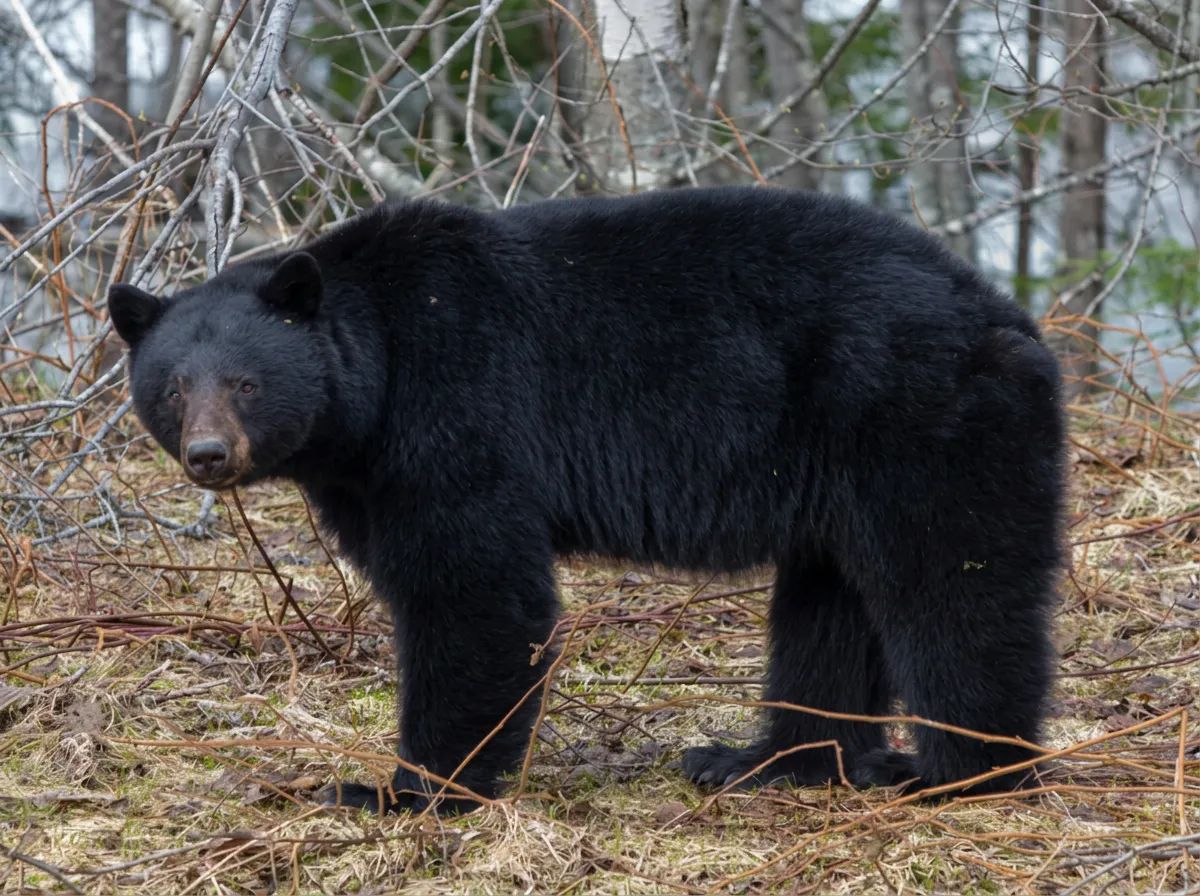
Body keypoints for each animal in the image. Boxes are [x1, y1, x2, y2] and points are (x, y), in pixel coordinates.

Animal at [108, 186, 1064, 814]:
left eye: (246, 381)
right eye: (172, 386)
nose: (208, 454)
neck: (377, 375)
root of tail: (1007, 315)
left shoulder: (460, 409)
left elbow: (476, 594)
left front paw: (407, 789)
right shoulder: (364, 474)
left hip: (918, 418)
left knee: (953, 587)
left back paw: (949, 773)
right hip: (840, 474)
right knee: (828, 607)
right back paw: (764, 760)